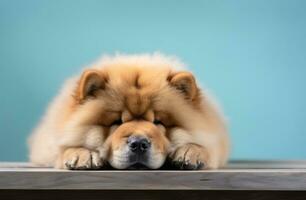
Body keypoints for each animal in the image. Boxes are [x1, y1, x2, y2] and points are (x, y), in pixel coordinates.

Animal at [28, 54, 230, 170]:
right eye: (117, 122)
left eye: (158, 122)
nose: (139, 144)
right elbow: (65, 146)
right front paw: (83, 154)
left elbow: (202, 146)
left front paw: (190, 152)